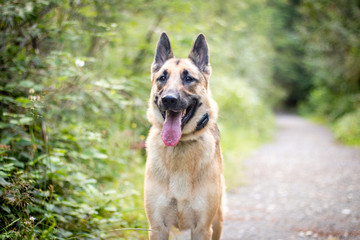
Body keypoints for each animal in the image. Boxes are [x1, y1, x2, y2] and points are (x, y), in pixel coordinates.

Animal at [144, 32, 224, 240]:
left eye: (188, 78)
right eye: (162, 77)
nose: (169, 99)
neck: (180, 145)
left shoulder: (202, 229)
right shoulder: (157, 228)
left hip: (217, 222)